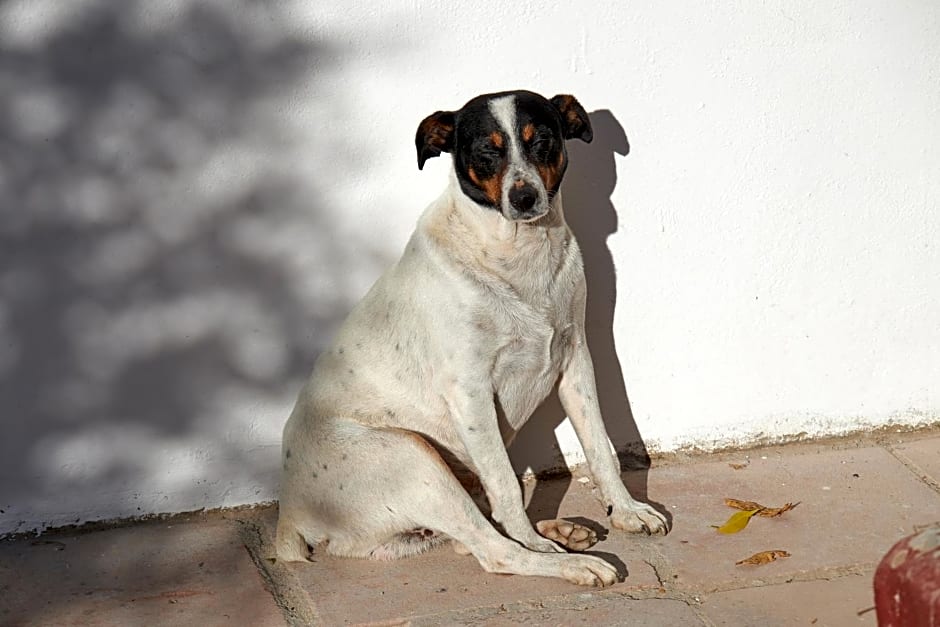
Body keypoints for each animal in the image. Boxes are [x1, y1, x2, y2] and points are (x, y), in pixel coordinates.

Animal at [274, 89, 668, 588]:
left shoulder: (576, 359)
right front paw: (545, 545)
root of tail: (291, 513)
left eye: (542, 141)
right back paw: (568, 561)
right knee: (494, 550)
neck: (517, 254)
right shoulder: (472, 391)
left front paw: (628, 511)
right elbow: (507, 487)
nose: (524, 198)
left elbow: (600, 447)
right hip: (416, 459)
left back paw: (560, 531)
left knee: (477, 535)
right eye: (486, 151)